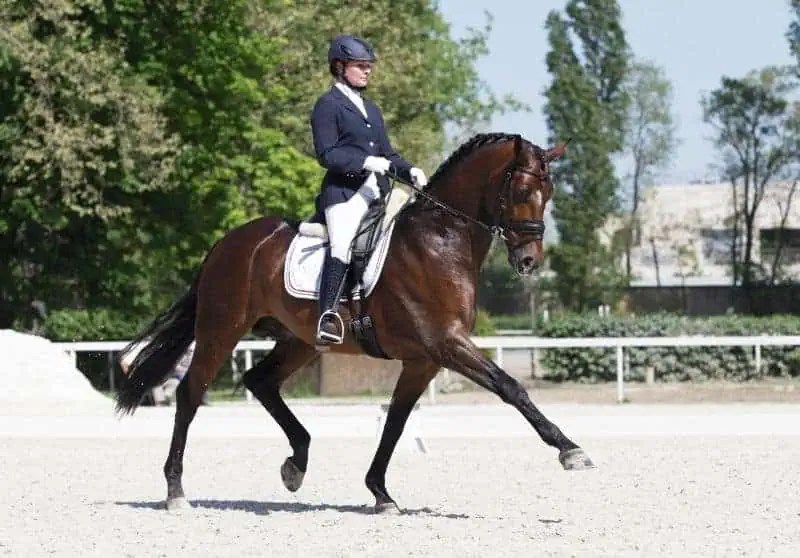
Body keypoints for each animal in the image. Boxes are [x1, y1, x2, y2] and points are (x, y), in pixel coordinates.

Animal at [116, 132, 595, 513]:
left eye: (550, 191)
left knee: (260, 381)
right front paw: (570, 450)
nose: (530, 261)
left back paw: (296, 463)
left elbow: (396, 422)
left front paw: (380, 493)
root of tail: (228, 242)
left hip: (299, 340)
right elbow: (511, 387)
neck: (441, 240)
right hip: (221, 329)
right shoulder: (448, 344)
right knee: (190, 394)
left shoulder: (424, 360)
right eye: (521, 188)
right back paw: (176, 492)